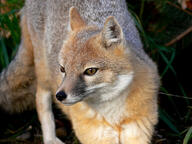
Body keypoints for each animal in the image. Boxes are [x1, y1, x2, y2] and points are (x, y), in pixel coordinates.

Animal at [0, 0, 159, 143]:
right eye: (63, 69)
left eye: (91, 71)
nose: (60, 96)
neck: (113, 114)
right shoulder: (96, 137)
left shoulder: (137, 132)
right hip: (44, 73)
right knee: (40, 99)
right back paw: (50, 138)